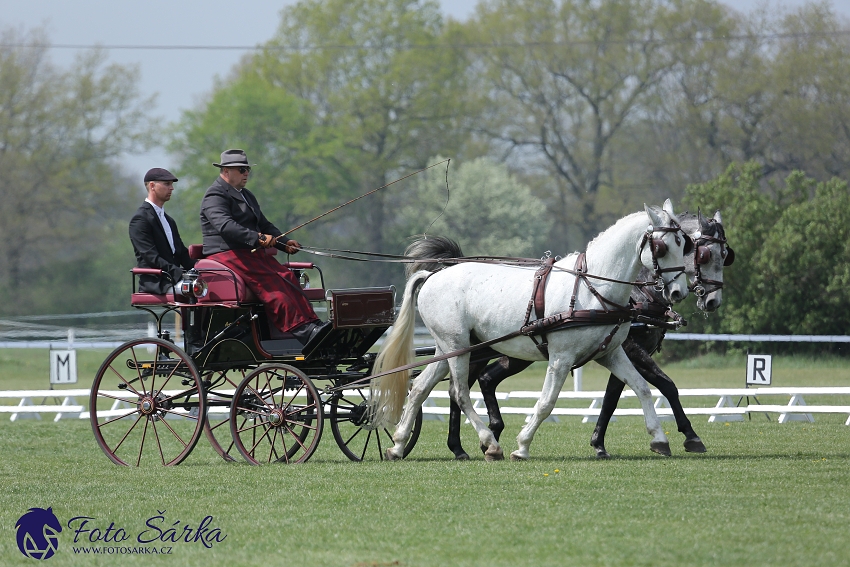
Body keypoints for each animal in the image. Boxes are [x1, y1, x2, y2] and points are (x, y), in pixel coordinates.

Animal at [370, 200, 688, 462]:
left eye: (684, 243)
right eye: (662, 247)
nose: (678, 292)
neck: (591, 288)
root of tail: (434, 274)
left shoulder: (611, 353)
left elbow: (642, 388)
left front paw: (660, 439)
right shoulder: (561, 357)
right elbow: (547, 403)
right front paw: (522, 446)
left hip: (449, 348)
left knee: (420, 389)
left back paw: (398, 445)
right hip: (457, 346)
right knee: (458, 392)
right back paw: (489, 443)